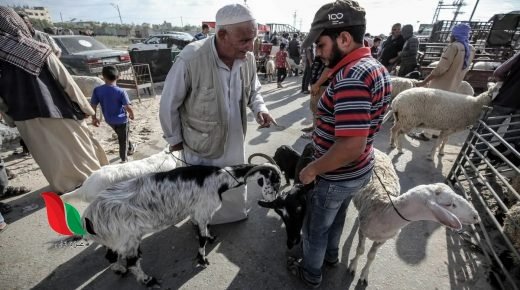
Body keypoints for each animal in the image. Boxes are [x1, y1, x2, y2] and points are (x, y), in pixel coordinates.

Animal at [77, 163, 280, 288]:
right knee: (132, 263)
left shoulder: (196, 212)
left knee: (112, 255)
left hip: (117, 238)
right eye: (275, 182)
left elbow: (203, 231)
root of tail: (89, 216)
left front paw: (211, 238)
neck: (219, 179)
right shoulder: (203, 209)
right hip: (128, 237)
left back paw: (120, 269)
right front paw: (202, 260)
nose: (274, 200)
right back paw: (148, 280)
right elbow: (201, 236)